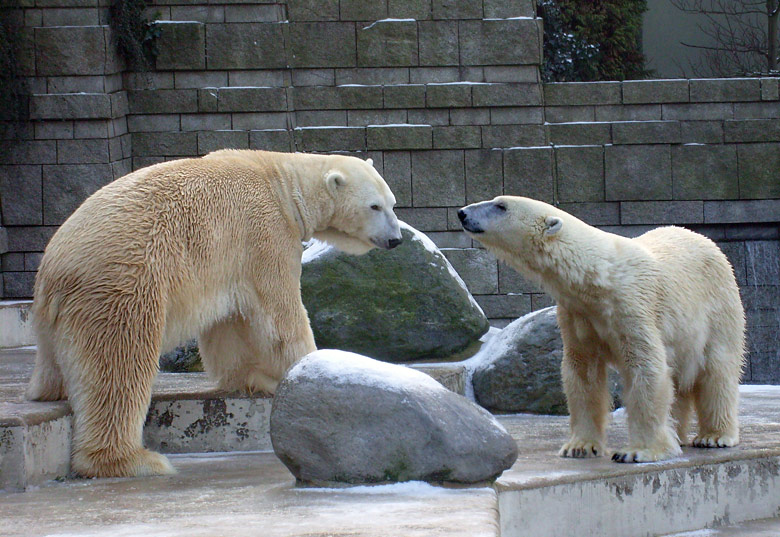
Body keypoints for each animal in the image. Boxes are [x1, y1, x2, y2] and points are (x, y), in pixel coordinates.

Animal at [25, 150, 402, 478]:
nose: (396, 239)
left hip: (55, 315)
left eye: (393, 203)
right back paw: (134, 460)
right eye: (374, 206)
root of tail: (53, 271)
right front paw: (311, 367)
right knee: (120, 364)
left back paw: (47, 391)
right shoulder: (267, 234)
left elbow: (230, 325)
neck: (283, 183)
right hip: (121, 285)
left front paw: (256, 378)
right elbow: (280, 315)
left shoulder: (230, 262)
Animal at [460, 196, 748, 460]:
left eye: (501, 206)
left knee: (717, 368)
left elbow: (646, 367)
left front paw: (639, 451)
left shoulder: (631, 306)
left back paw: (715, 436)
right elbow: (581, 373)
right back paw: (678, 433)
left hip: (718, 306)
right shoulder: (577, 313)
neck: (596, 278)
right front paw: (579, 446)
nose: (462, 213)